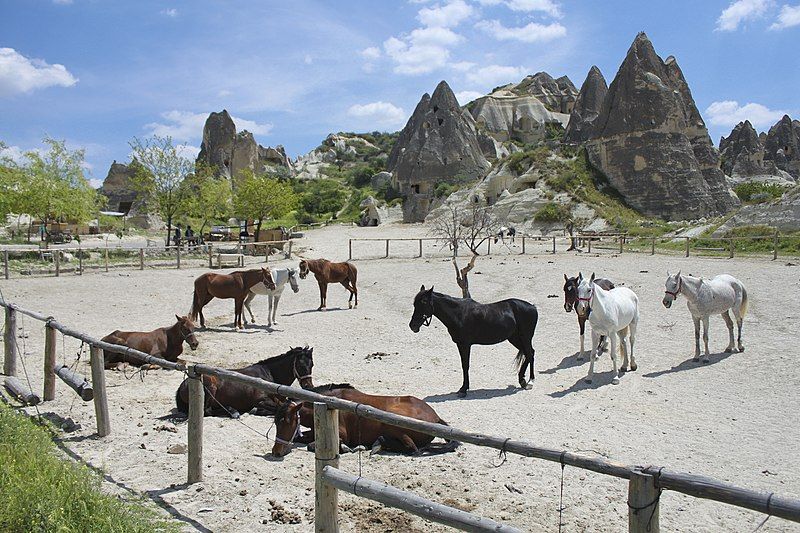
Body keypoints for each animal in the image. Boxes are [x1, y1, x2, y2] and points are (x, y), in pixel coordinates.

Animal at [270, 382, 460, 458]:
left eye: (287, 422)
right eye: (276, 422)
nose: (276, 452)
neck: (326, 403)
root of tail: (435, 418)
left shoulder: (341, 434)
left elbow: (311, 445)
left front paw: (345, 447)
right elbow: (302, 437)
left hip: (393, 423)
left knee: (413, 449)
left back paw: (376, 444)